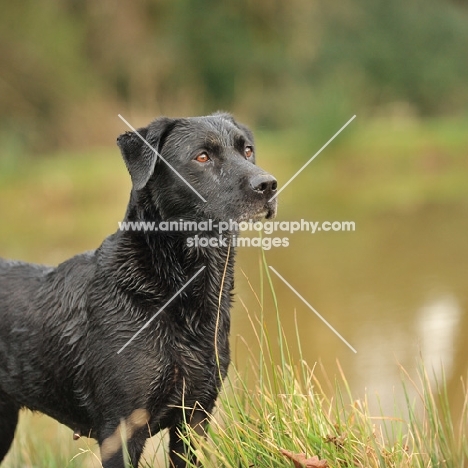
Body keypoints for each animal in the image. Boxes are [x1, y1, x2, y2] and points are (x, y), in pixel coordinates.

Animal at [0, 114, 278, 468]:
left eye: (247, 150)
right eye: (202, 156)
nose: (268, 184)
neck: (176, 294)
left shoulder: (194, 417)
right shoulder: (121, 428)